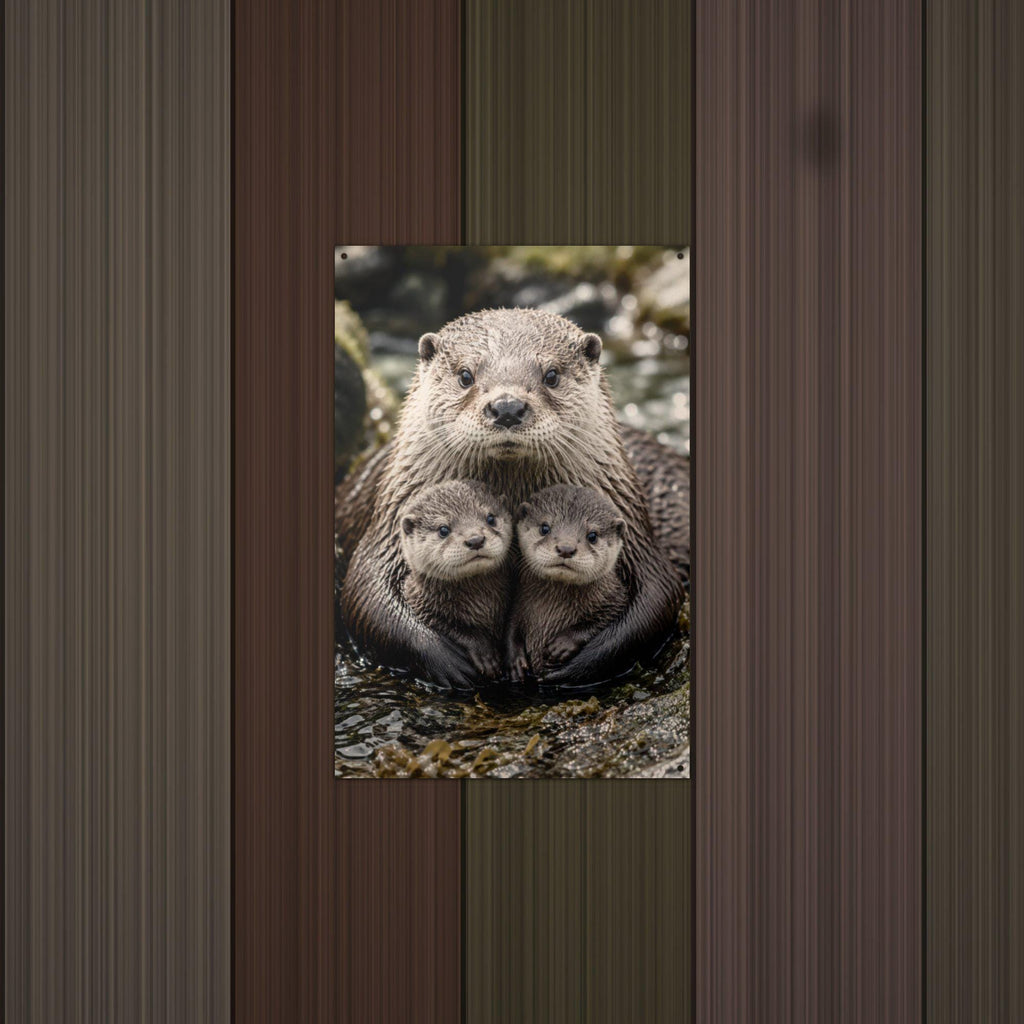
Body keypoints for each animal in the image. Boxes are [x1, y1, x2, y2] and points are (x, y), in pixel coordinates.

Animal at [399, 480, 512, 679]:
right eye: (443, 529)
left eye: (490, 518)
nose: (475, 539)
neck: (482, 604)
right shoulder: (421, 605)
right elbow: (453, 628)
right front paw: (484, 653)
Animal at [506, 486, 629, 681]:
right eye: (545, 528)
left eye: (592, 535)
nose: (566, 548)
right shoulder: (518, 601)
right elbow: (510, 628)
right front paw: (515, 661)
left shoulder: (616, 597)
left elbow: (603, 618)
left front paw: (563, 644)